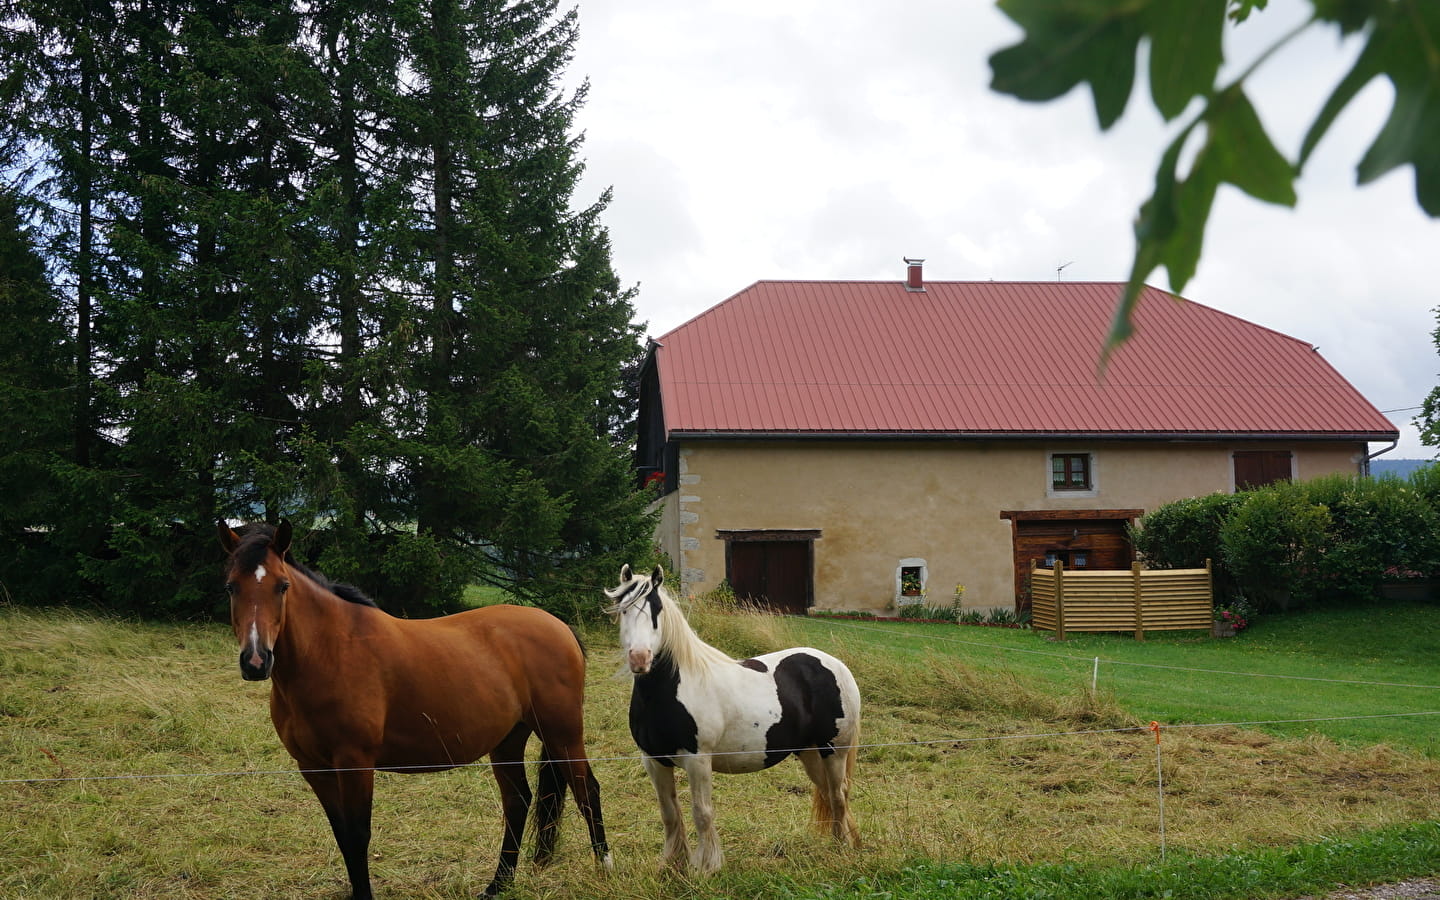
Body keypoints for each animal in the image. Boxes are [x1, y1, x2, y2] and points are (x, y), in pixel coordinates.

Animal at [216, 518, 610, 898]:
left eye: (282, 586)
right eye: (231, 587)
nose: (256, 661)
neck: (331, 651)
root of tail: (558, 626)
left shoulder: (356, 762)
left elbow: (358, 835)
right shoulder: (313, 768)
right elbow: (342, 835)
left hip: (561, 734)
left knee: (587, 791)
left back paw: (604, 871)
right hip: (508, 741)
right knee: (518, 801)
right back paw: (498, 885)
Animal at [604, 561, 858, 869]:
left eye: (657, 611)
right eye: (624, 609)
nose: (640, 659)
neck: (674, 687)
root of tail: (837, 665)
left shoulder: (698, 760)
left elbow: (702, 813)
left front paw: (705, 867)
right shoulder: (654, 760)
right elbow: (669, 813)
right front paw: (672, 864)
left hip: (834, 750)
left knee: (838, 794)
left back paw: (842, 847)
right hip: (810, 752)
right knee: (828, 793)